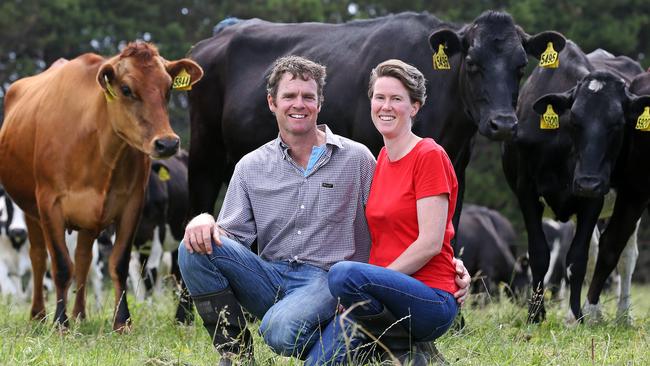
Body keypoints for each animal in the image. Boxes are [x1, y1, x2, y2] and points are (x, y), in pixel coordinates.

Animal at [0, 41, 201, 330]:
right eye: (126, 89)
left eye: (168, 89)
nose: (168, 143)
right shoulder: (49, 203)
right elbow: (60, 265)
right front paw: (60, 323)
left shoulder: (131, 206)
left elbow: (118, 264)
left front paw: (122, 322)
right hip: (30, 211)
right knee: (38, 257)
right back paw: (38, 315)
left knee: (83, 259)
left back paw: (80, 315)